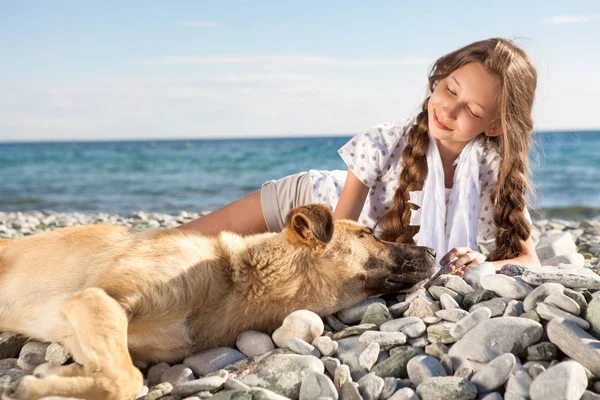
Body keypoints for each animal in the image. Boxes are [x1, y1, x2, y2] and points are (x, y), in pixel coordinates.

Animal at [0, 205, 434, 398]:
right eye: (367, 235)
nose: (432, 251)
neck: (239, 279)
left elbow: (118, 371)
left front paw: (58, 377)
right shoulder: (96, 299)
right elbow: (125, 377)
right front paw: (39, 385)